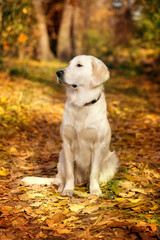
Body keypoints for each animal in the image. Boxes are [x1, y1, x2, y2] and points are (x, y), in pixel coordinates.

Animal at [21, 55, 118, 196]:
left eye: (79, 65)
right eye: (69, 64)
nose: (58, 73)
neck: (82, 103)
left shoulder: (98, 145)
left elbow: (94, 172)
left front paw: (94, 189)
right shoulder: (67, 144)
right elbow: (69, 173)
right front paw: (68, 189)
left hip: (111, 160)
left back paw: (90, 184)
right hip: (61, 157)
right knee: (58, 179)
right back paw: (61, 186)